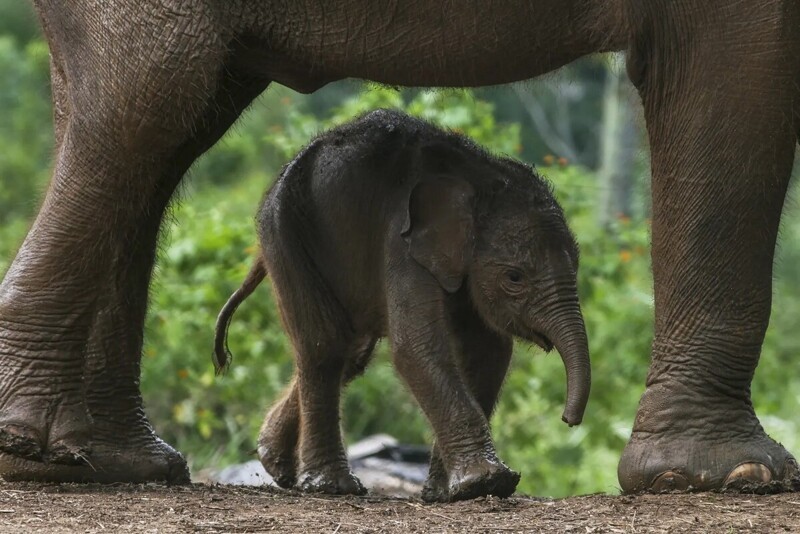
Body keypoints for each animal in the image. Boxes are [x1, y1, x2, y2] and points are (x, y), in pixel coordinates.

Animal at [216, 111, 592, 504]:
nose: (568, 420)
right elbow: (417, 346)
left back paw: (274, 462)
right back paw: (332, 487)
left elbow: (488, 352)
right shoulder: (401, 242)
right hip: (286, 231)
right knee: (325, 345)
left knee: (351, 354)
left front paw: (447, 493)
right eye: (515, 278)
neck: (480, 178)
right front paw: (488, 483)